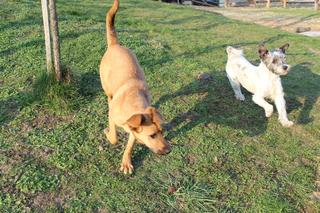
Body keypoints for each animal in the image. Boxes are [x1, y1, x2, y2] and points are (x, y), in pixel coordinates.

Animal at [99, 0, 170, 175]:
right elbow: (114, 138)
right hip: (106, 86)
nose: (169, 150)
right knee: (109, 96)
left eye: (162, 132)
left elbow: (130, 145)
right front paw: (108, 133)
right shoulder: (113, 118)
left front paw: (126, 161)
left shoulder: (134, 130)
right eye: (152, 135)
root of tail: (115, 44)